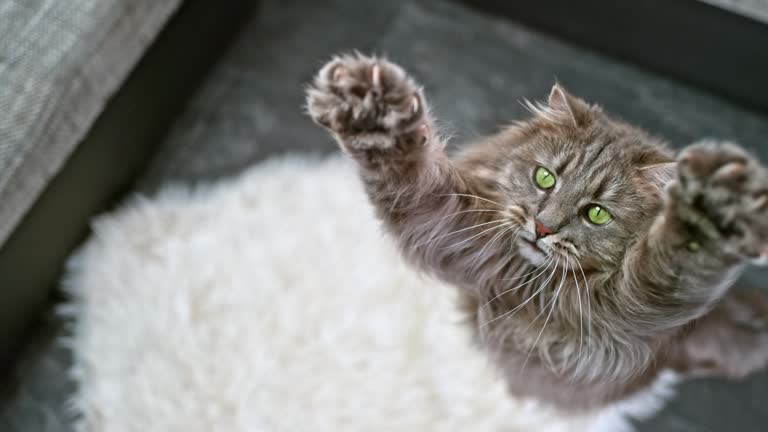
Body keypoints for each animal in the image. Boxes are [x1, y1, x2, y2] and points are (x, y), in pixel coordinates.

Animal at [304, 54, 768, 422]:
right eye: (545, 178)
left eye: (596, 214)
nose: (543, 227)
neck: (530, 284)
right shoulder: (451, 229)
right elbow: (407, 168)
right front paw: (369, 108)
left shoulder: (632, 308)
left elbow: (670, 262)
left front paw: (708, 213)